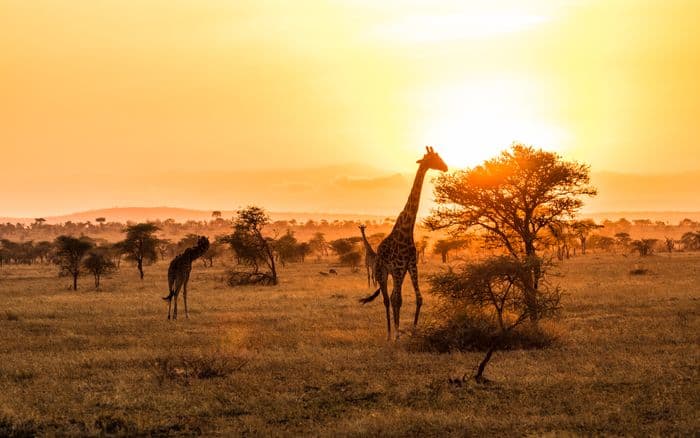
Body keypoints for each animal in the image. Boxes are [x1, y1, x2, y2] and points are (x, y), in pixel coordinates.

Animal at [360, 146, 448, 340]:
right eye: (435, 158)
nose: (445, 167)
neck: (407, 230)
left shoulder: (411, 265)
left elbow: (419, 298)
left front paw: (414, 331)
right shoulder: (399, 267)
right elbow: (396, 300)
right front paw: (397, 334)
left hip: (396, 273)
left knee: (392, 297)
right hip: (382, 272)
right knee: (387, 299)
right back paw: (389, 334)